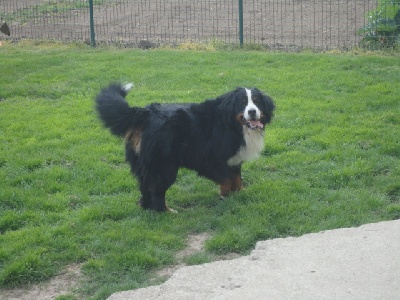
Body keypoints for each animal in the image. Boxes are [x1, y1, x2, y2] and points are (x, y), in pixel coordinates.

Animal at [95, 83, 274, 212]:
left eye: (257, 102)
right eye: (242, 103)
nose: (252, 112)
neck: (230, 122)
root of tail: (145, 113)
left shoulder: (234, 159)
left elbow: (237, 178)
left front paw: (238, 194)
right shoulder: (211, 159)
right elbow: (227, 178)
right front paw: (225, 195)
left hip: (144, 164)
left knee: (145, 186)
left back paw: (147, 208)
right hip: (164, 166)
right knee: (156, 190)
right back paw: (165, 211)